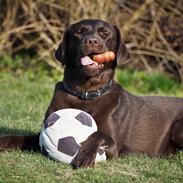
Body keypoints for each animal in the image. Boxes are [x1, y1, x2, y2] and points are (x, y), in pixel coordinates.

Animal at [0, 19, 183, 169]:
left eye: (105, 34)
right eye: (80, 32)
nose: (92, 41)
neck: (85, 93)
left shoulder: (113, 146)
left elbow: (97, 134)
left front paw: (85, 156)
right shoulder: (43, 133)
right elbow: (21, 137)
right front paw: (4, 141)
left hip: (177, 128)